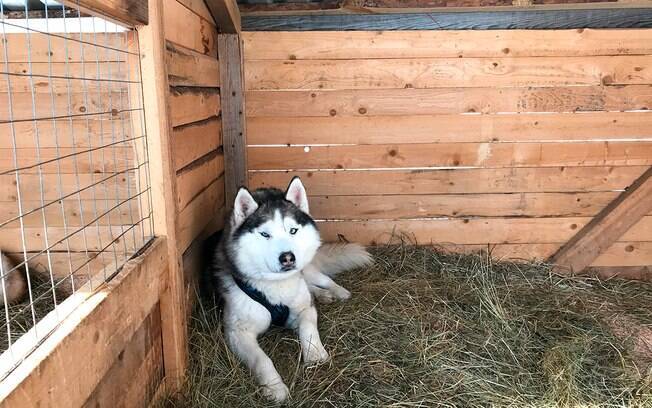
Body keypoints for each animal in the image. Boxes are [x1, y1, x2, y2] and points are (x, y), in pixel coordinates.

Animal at [210, 177, 372, 400]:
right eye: (265, 234)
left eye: (293, 230)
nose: (287, 257)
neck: (277, 286)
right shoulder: (237, 332)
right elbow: (262, 359)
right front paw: (274, 387)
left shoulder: (304, 309)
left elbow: (308, 327)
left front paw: (315, 354)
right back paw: (323, 295)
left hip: (308, 269)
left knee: (321, 279)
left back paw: (337, 292)